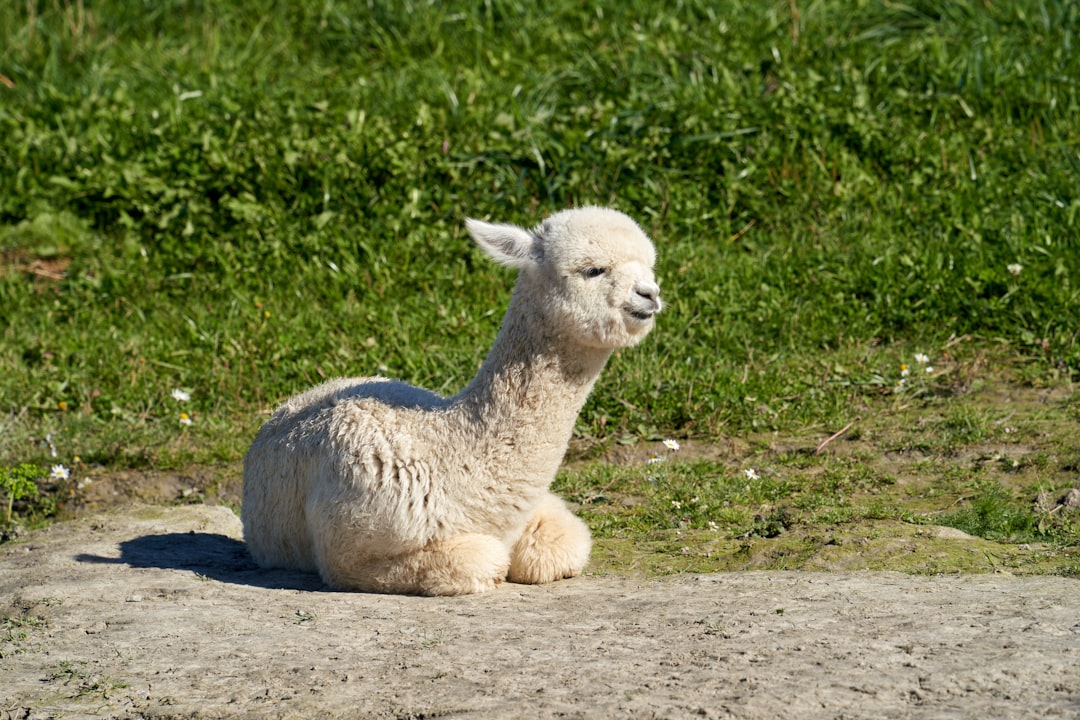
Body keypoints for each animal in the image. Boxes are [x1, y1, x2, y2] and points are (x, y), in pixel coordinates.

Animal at [241, 206, 662, 595]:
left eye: (651, 266)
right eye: (593, 270)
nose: (650, 294)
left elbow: (561, 547)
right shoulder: (348, 545)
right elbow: (482, 561)